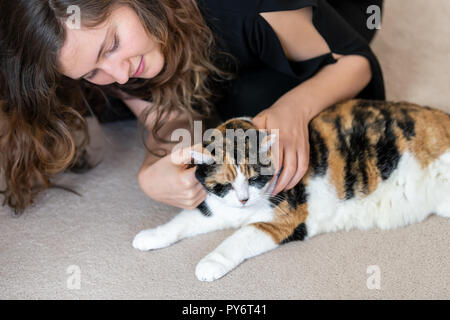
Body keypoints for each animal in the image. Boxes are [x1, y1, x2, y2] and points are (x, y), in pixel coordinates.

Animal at [133, 99, 450, 282]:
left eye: (255, 178)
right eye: (226, 184)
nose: (244, 199)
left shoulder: (283, 220)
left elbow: (237, 239)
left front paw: (209, 264)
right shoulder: (215, 207)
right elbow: (182, 221)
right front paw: (149, 237)